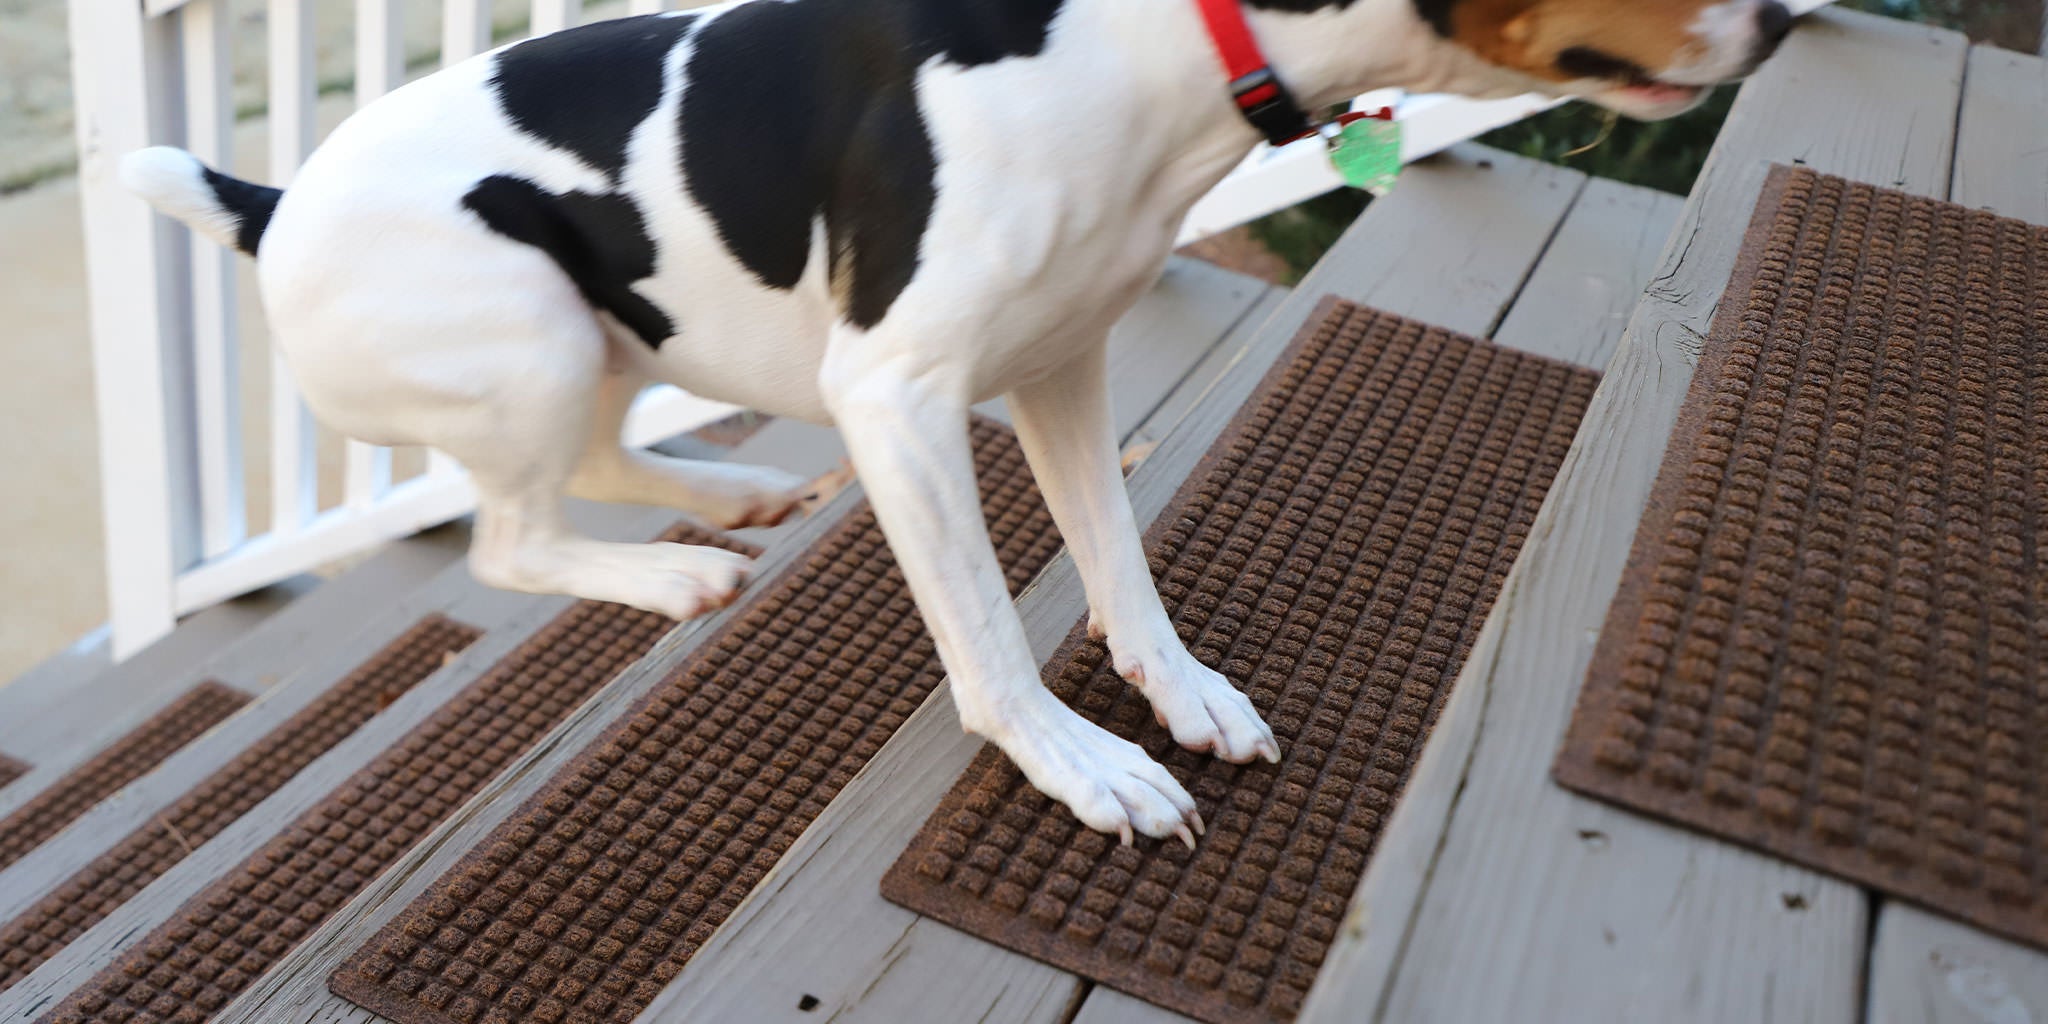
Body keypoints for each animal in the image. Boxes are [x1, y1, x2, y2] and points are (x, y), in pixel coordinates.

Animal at [123, 0, 1794, 843]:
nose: (1783, 14)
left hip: (605, 325)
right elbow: (988, 637)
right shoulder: (901, 396)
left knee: (587, 464)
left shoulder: (1063, 354)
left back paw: (727, 509)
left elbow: (1120, 561)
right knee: (509, 544)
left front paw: (1177, 692)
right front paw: (1079, 765)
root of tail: (272, 199)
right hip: (527, 321)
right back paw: (679, 571)